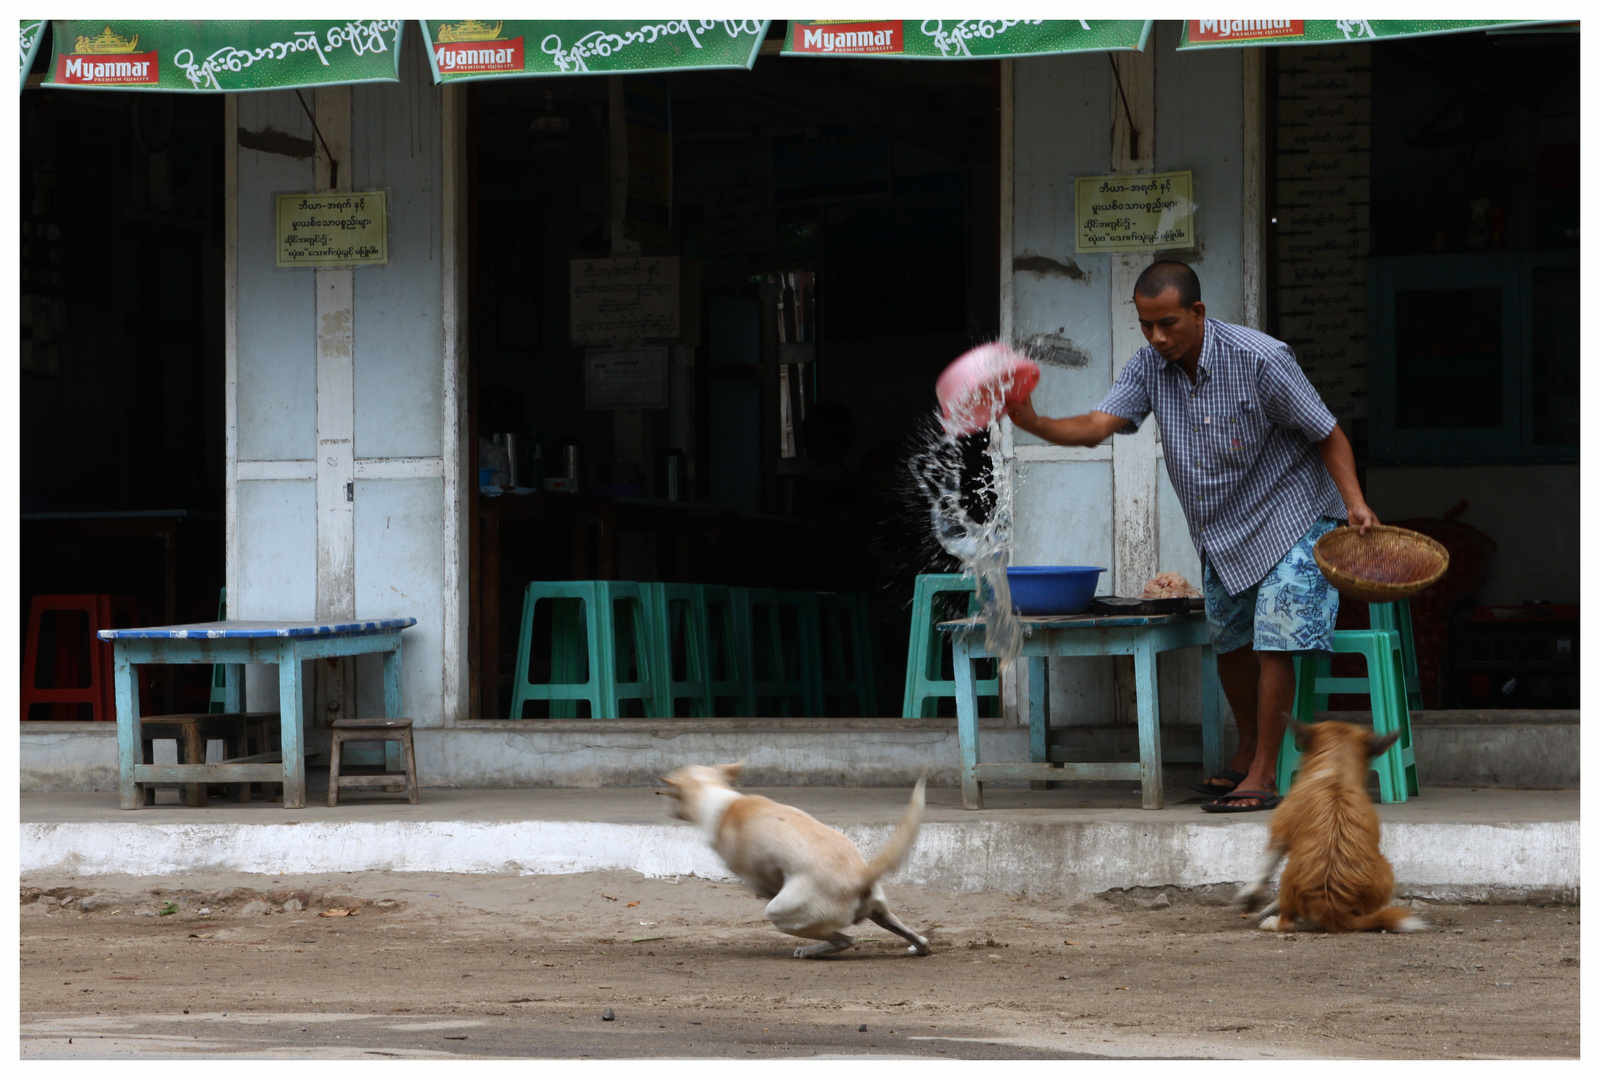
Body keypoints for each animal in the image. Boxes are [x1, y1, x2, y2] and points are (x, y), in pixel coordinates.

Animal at [662, 764, 934, 960]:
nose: (668, 809)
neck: (720, 799)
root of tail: (859, 877)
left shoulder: (753, 875)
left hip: (781, 914)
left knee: (847, 940)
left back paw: (810, 951)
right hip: (881, 911)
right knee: (921, 940)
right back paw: (916, 948)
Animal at [1235, 723, 1427, 934]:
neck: (1336, 768)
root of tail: (1330, 905)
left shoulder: (1279, 834)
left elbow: (1263, 868)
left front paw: (1251, 896)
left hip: (1291, 875)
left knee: (1287, 922)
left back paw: (1275, 921)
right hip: (1385, 872)